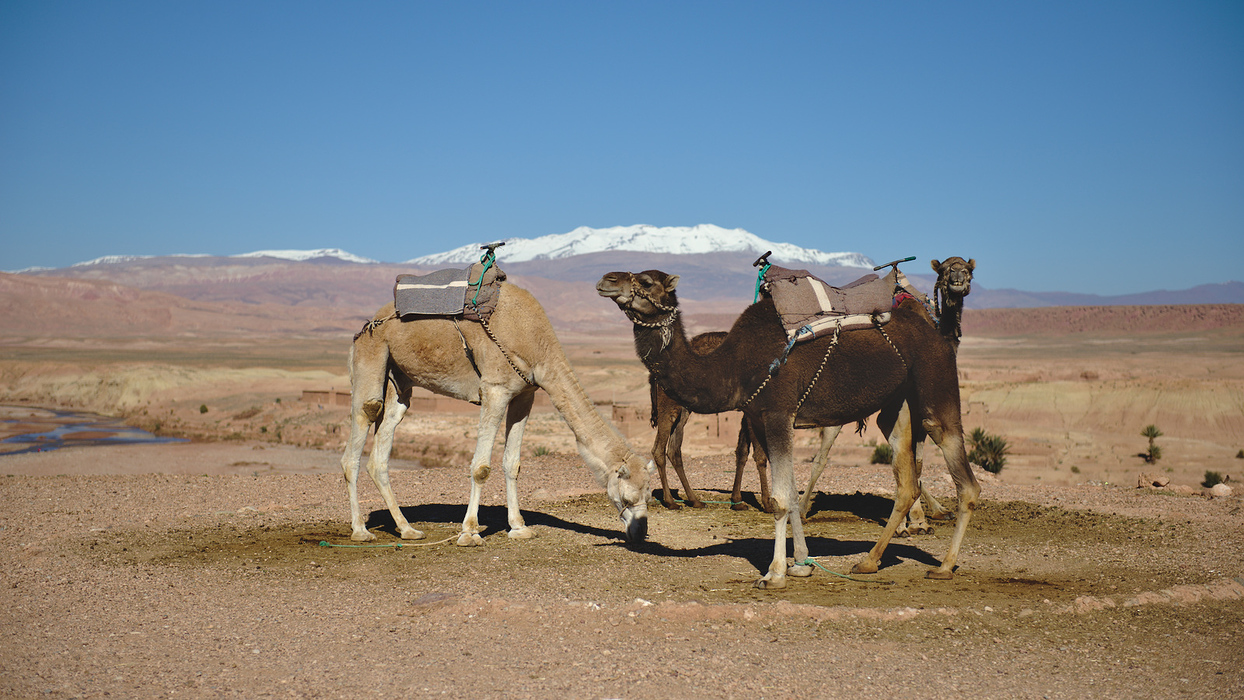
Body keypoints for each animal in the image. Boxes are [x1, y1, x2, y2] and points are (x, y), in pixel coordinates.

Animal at [340, 282, 651, 544]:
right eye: (628, 498)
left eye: (649, 495)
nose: (640, 533)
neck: (535, 341)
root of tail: (367, 324)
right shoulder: (495, 391)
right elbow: (481, 467)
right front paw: (469, 533)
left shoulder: (525, 394)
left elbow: (512, 464)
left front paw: (519, 527)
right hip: (370, 357)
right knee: (362, 425)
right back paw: (361, 531)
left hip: (400, 382)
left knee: (380, 452)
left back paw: (408, 529)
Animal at [594, 271, 980, 589]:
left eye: (645, 282)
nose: (606, 280)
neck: (734, 363)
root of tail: (939, 335)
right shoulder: (759, 417)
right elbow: (790, 494)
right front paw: (801, 564)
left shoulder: (778, 413)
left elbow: (780, 500)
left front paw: (775, 573)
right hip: (896, 406)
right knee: (906, 482)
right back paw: (869, 562)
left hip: (936, 387)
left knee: (965, 481)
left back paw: (944, 566)